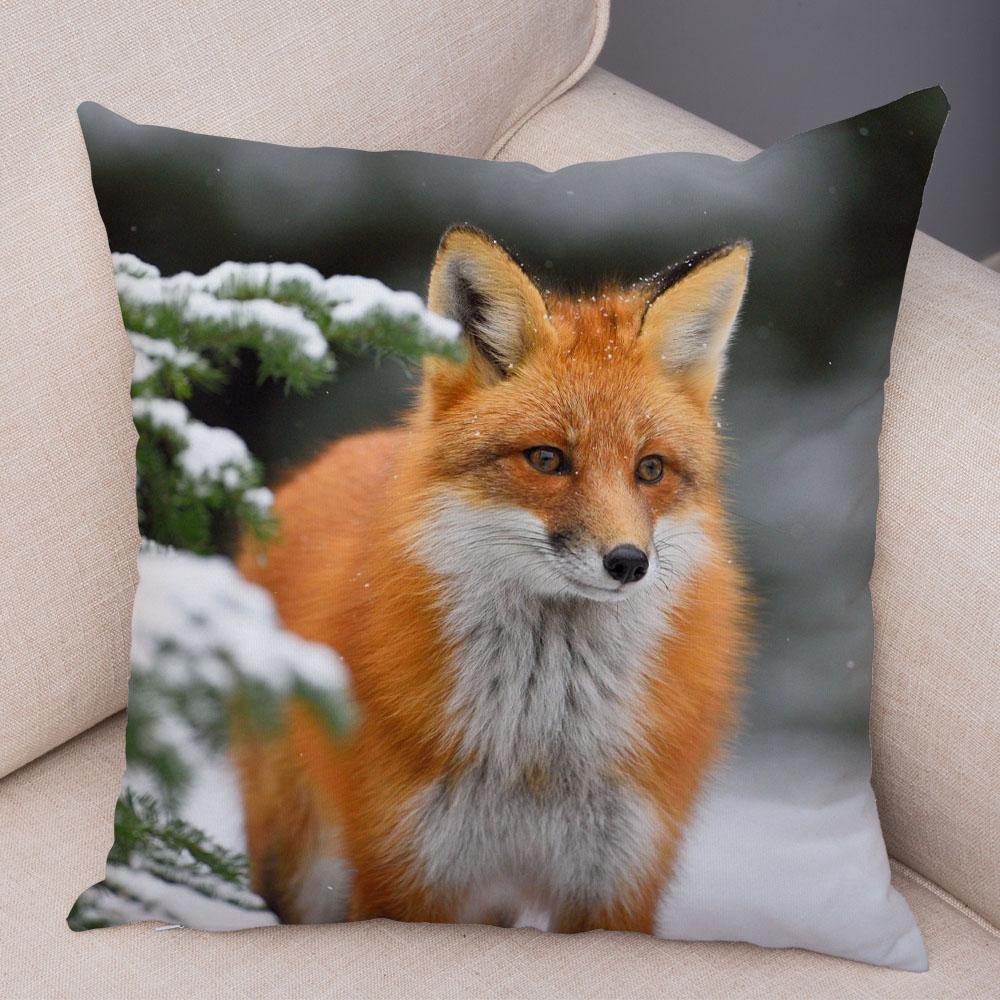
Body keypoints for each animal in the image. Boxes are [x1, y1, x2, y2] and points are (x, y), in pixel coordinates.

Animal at [232, 225, 752, 935]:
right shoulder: (408, 870)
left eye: (650, 469)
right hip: (300, 865)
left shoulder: (617, 882)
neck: (542, 748)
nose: (628, 562)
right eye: (547, 459)